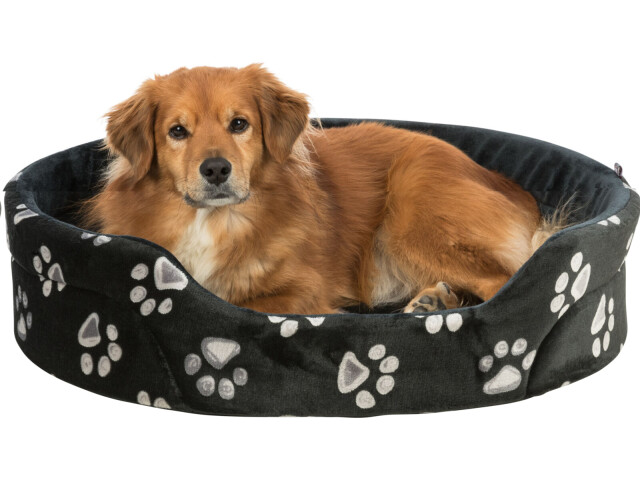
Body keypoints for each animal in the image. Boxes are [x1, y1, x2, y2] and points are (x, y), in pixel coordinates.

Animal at [80, 64, 562, 315]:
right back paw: (433, 301)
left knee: (504, 282)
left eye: (239, 124)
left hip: (411, 208)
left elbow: (245, 304)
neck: (214, 221)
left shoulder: (304, 290)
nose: (215, 169)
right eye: (177, 131)